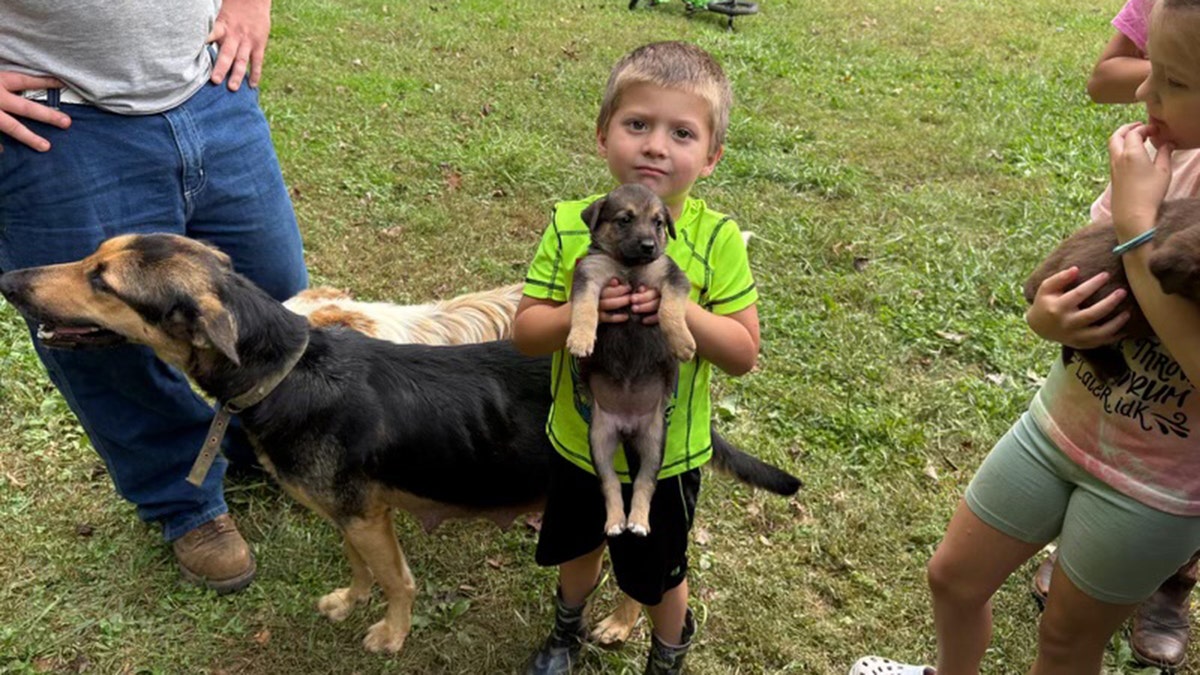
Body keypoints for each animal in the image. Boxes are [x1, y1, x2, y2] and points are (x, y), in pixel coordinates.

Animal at [2, 233, 806, 653]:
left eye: (103, 280)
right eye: (95, 259)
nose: (11, 277)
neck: (287, 367)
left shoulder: (368, 515)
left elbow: (397, 580)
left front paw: (389, 635)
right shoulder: (353, 513)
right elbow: (361, 569)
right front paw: (346, 601)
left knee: (648, 576)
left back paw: (617, 623)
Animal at [566, 181, 700, 533]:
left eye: (658, 222)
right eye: (625, 219)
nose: (649, 246)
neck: (629, 266)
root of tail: (627, 426)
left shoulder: (670, 277)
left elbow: (669, 308)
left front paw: (682, 342)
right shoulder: (589, 277)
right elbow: (585, 309)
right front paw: (580, 338)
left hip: (654, 441)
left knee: (644, 483)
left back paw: (638, 520)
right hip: (599, 439)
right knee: (611, 484)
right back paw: (617, 521)